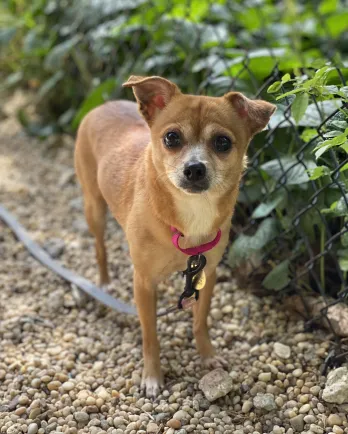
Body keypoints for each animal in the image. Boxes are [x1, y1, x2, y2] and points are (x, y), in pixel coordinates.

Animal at [73, 75, 274, 396]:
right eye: (171, 138)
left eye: (222, 142)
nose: (194, 169)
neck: (189, 216)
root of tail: (102, 104)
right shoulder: (143, 282)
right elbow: (150, 335)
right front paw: (152, 377)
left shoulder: (207, 273)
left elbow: (200, 322)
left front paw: (207, 356)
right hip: (94, 208)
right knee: (100, 247)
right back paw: (103, 282)